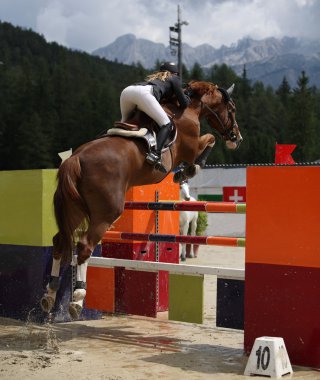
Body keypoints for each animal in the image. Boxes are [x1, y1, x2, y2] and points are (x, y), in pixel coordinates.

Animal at [40, 81, 242, 320]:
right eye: (231, 109)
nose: (237, 139)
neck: (188, 107)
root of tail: (75, 158)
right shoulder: (190, 148)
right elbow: (209, 140)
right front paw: (188, 171)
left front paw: (184, 173)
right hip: (106, 213)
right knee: (84, 245)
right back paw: (77, 298)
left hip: (74, 210)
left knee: (59, 241)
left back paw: (50, 294)